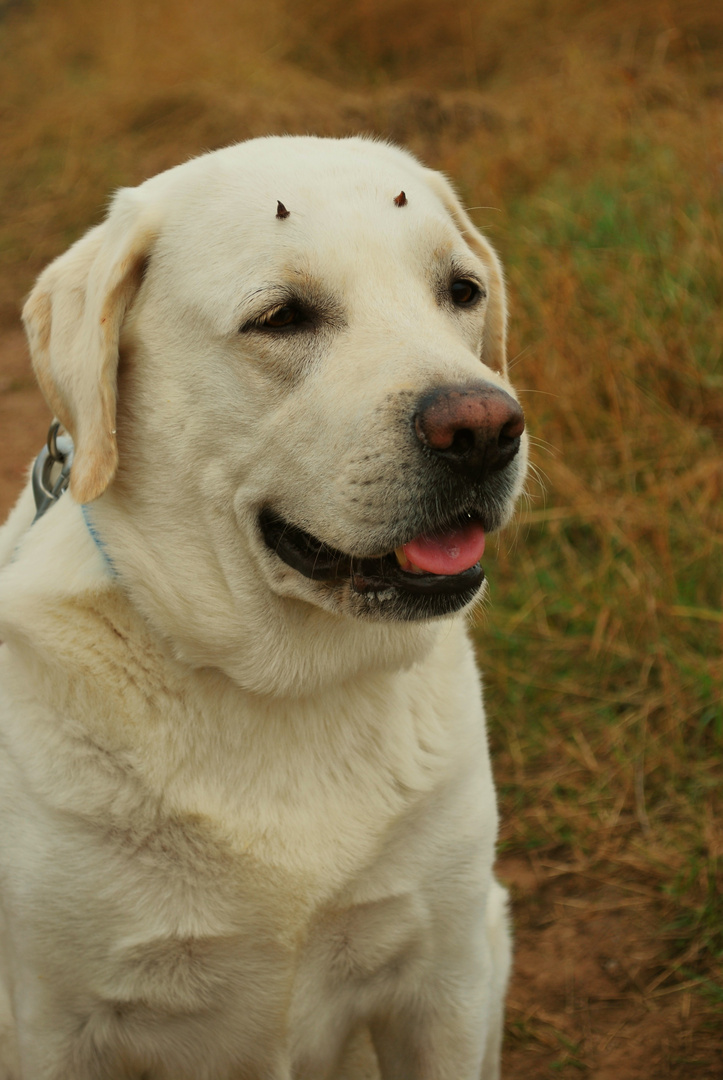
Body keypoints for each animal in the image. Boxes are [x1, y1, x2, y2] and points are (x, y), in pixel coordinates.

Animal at [0, 137, 527, 1080]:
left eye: (461, 292)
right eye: (281, 317)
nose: (483, 428)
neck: (285, 689)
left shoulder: (445, 980)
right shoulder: (58, 1022)